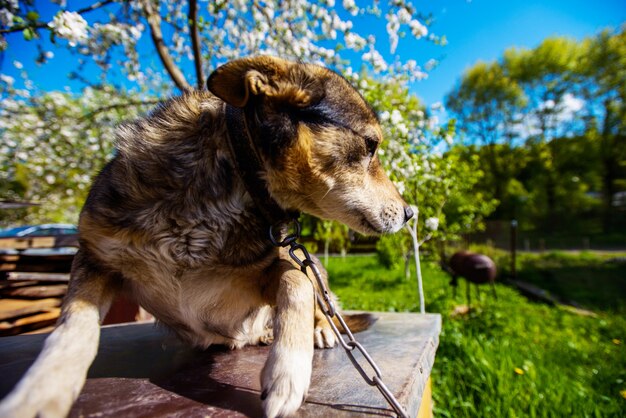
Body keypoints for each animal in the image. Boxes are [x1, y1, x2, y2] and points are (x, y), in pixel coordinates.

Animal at [1, 56, 414, 418]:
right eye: (371, 146)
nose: (411, 213)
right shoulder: (95, 256)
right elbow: (74, 327)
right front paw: (44, 388)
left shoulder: (276, 267)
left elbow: (296, 285)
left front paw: (287, 374)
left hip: (314, 266)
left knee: (322, 298)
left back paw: (321, 331)